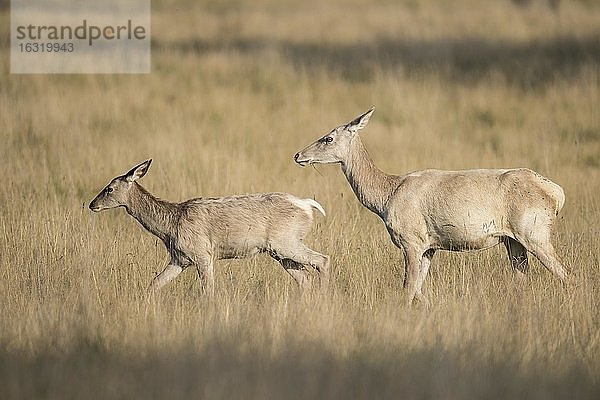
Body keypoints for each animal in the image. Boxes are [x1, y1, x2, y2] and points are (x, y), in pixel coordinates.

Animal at [89, 159, 328, 294]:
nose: (92, 204)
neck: (170, 226)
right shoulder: (179, 258)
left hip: (285, 241)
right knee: (305, 278)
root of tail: (307, 205)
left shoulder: (202, 253)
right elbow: (154, 283)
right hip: (280, 251)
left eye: (109, 188)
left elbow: (208, 291)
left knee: (322, 260)